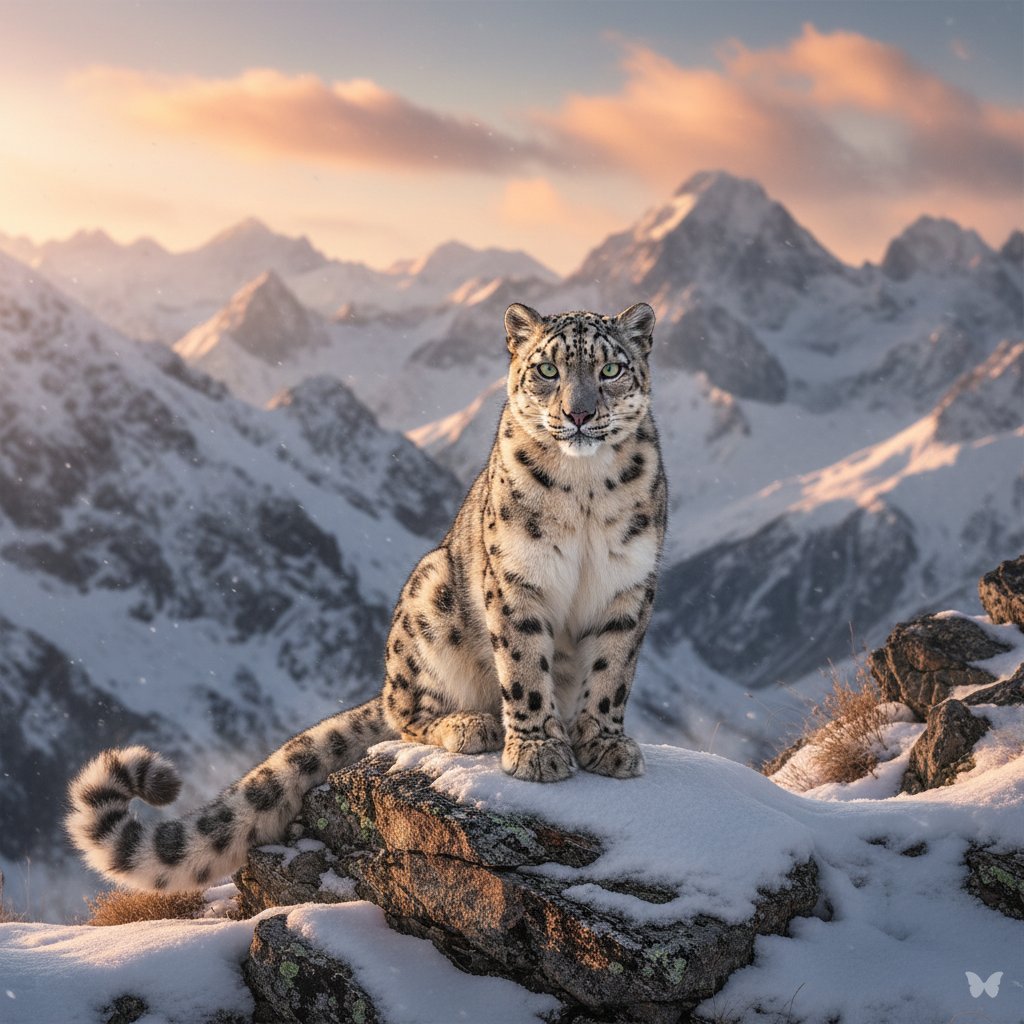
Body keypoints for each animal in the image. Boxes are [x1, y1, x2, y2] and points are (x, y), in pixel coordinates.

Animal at [66, 301, 667, 892]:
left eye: (609, 370)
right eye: (547, 370)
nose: (579, 414)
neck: (584, 492)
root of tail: (384, 683)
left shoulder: (629, 587)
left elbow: (612, 672)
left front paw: (604, 742)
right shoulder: (517, 580)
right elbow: (523, 666)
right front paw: (537, 750)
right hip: (429, 595)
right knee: (408, 713)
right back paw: (470, 724)